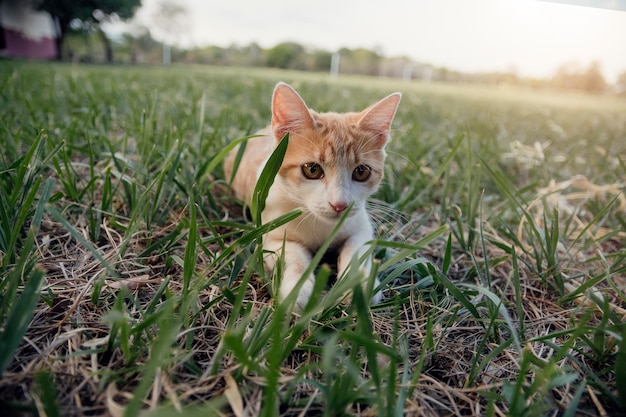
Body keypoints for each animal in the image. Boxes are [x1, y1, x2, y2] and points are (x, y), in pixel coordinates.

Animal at [223, 82, 400, 308]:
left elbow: (356, 248)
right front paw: (298, 289)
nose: (340, 205)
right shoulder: (269, 236)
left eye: (361, 172)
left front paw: (357, 283)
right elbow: (294, 255)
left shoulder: (361, 225)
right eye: (312, 170)